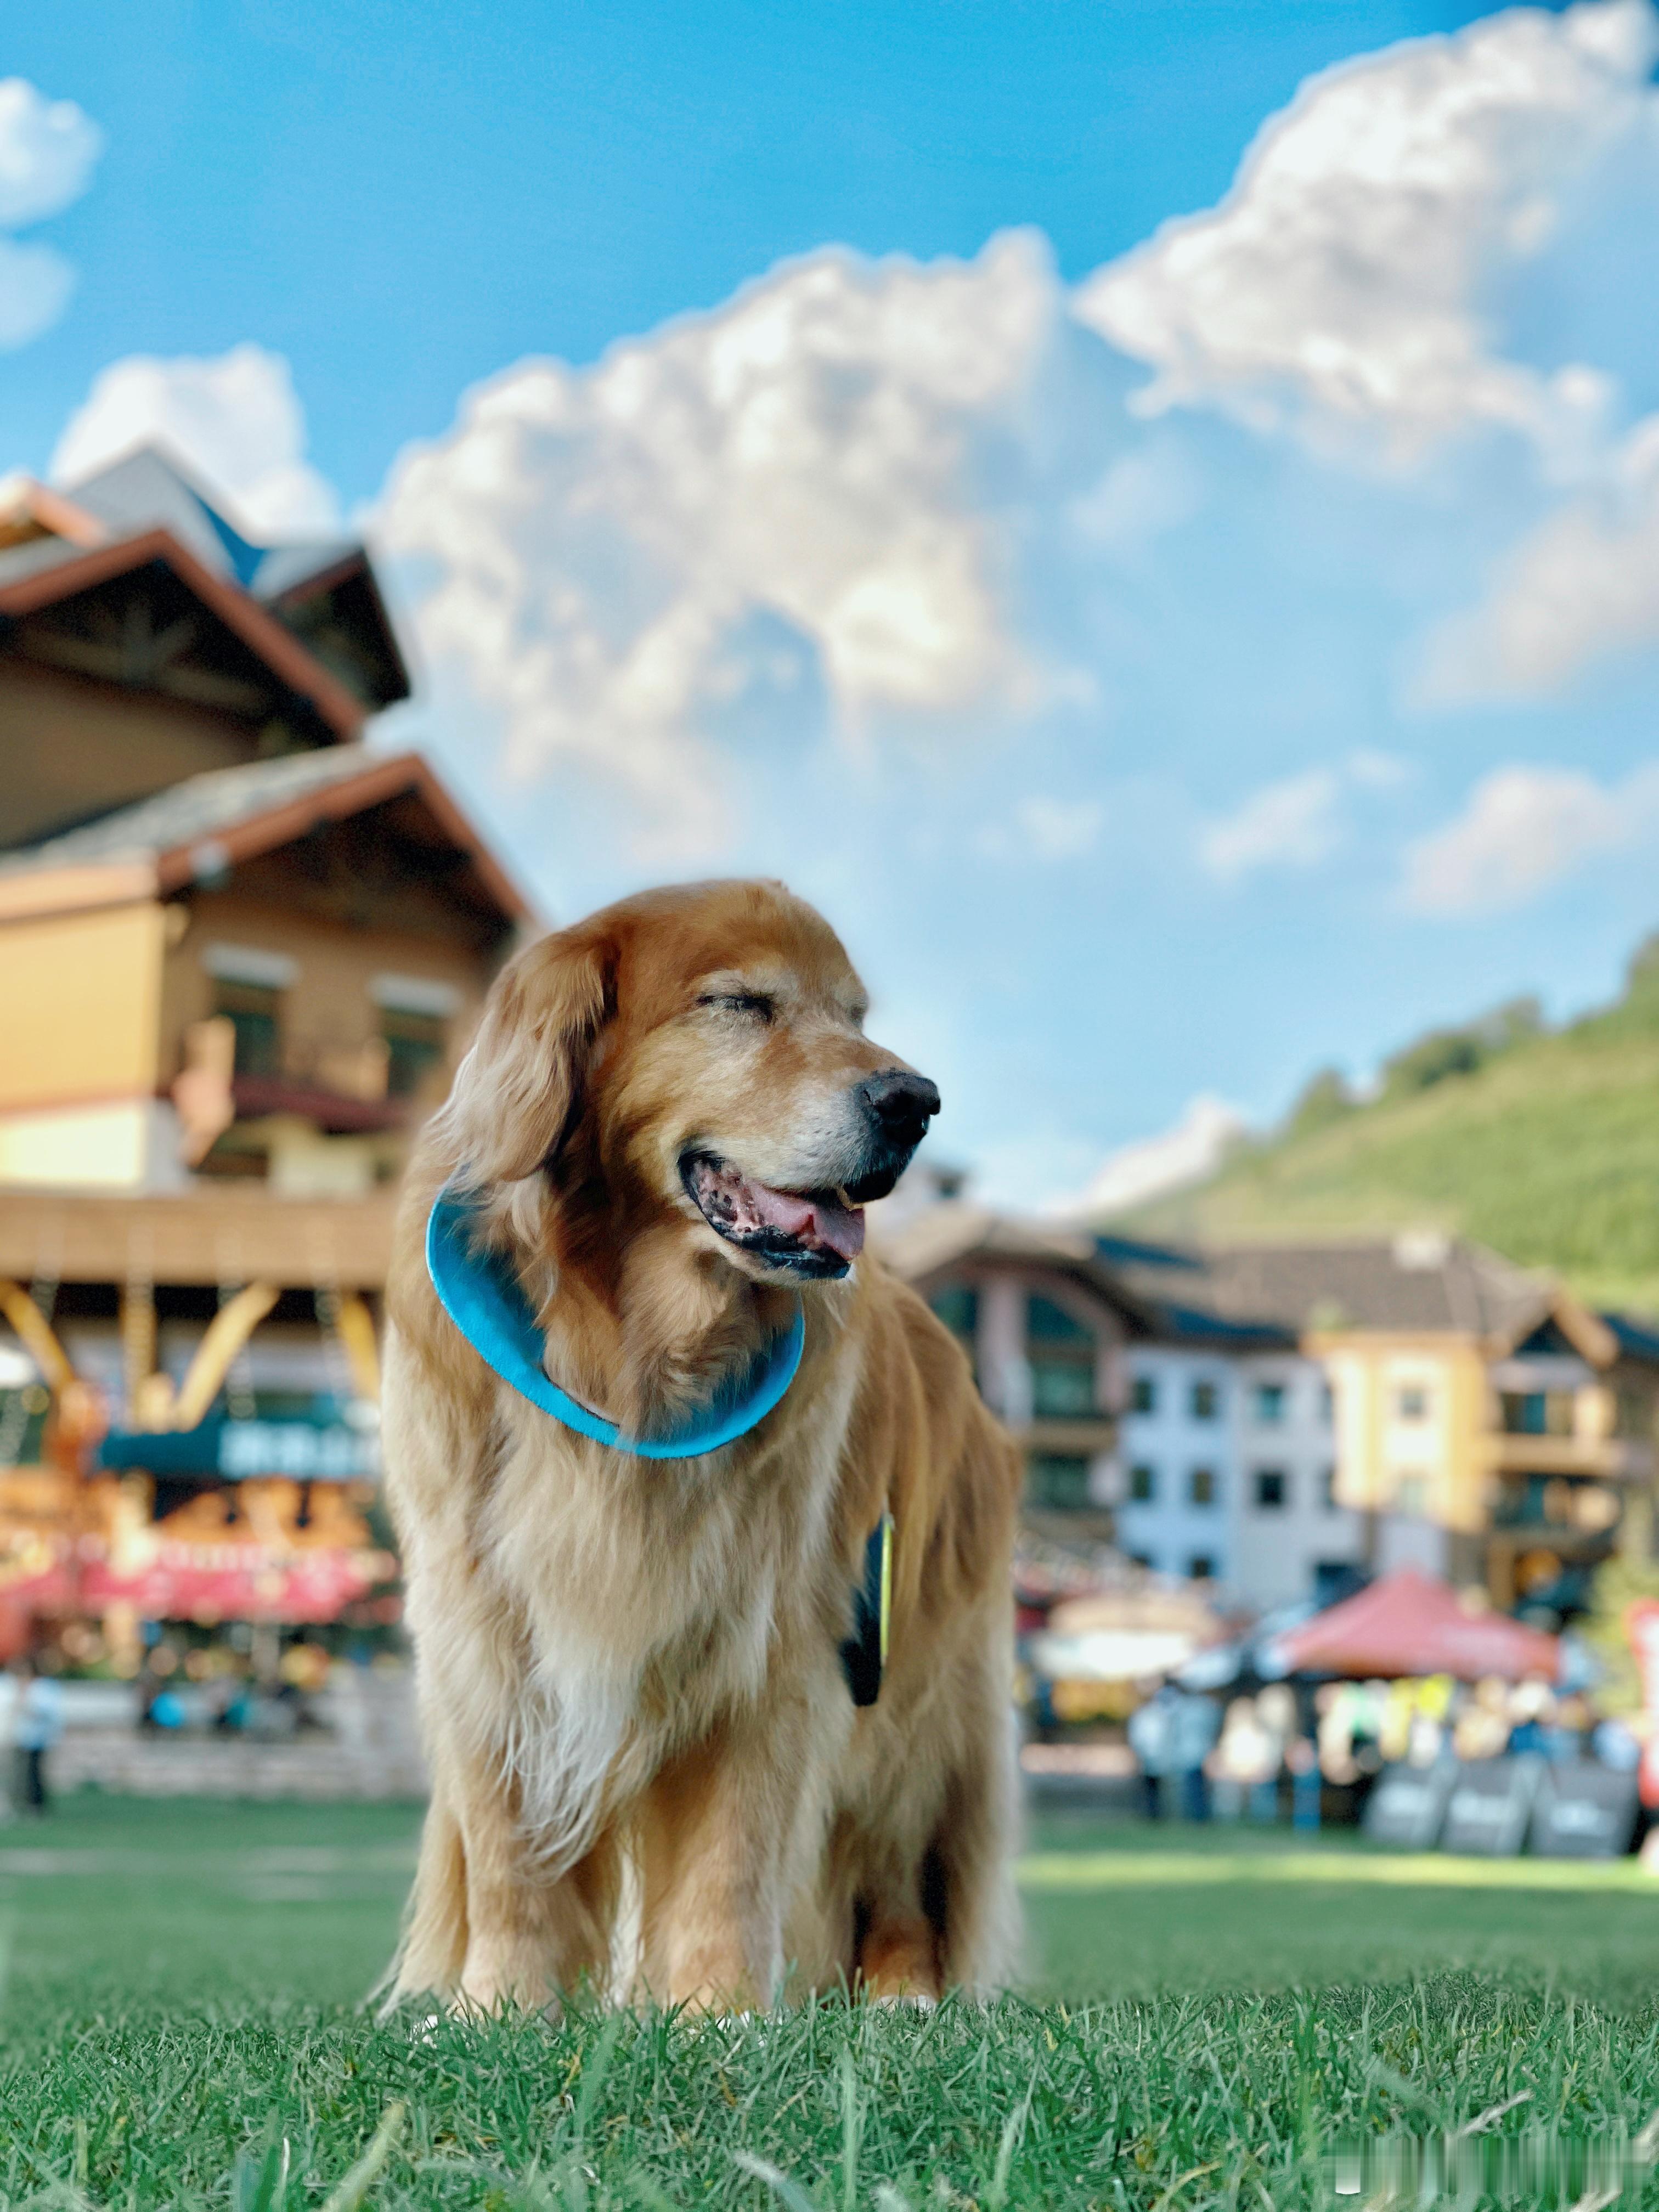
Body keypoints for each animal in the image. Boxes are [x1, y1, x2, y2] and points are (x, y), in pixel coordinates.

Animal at [382, 871, 1022, 2017]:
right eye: (737, 1004)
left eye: (853, 1014)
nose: (914, 1101)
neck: (629, 1358)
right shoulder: (484, 1623)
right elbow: (509, 1858)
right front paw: (500, 2010)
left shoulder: (765, 1638)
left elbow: (730, 1858)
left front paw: (718, 2016)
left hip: (920, 1691)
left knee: (900, 1862)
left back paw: (903, 1996)